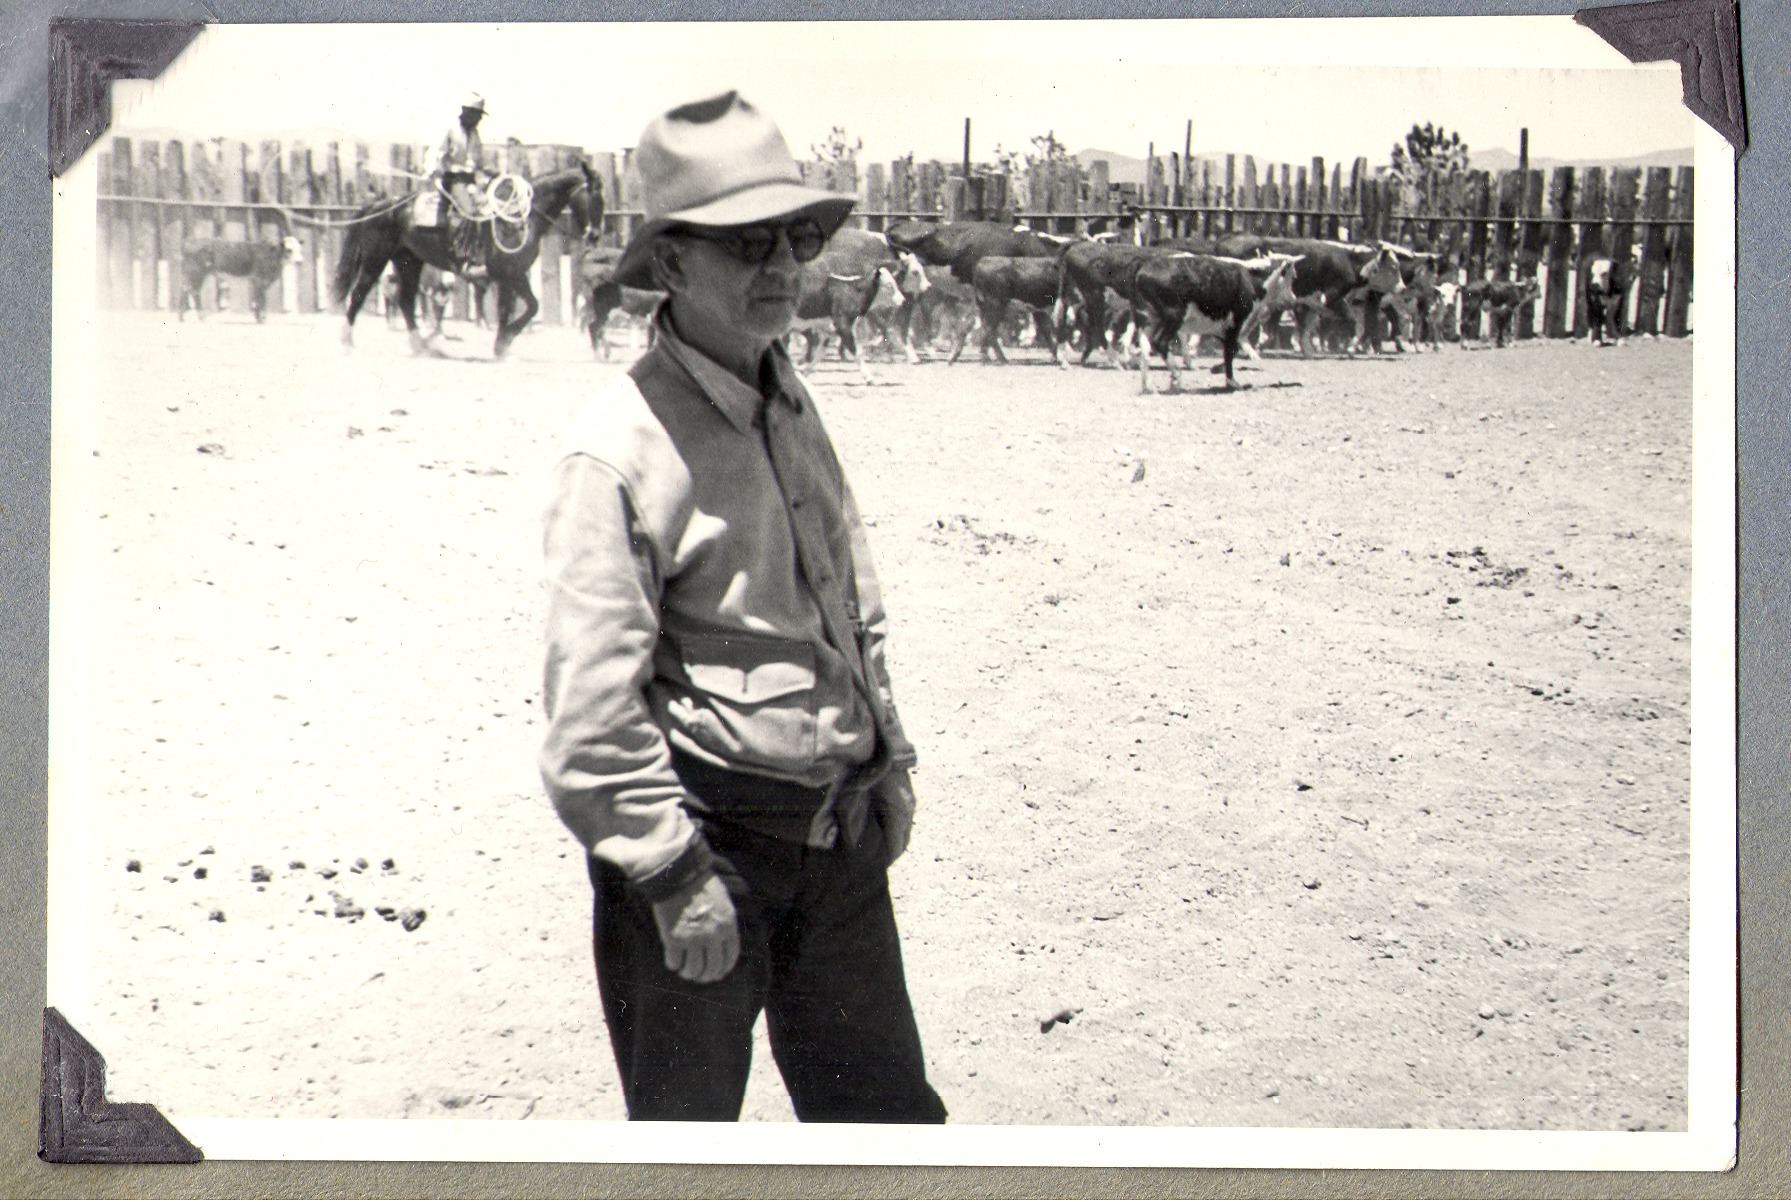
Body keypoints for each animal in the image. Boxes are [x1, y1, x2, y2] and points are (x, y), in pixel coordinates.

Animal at [336, 164, 608, 361]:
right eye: (594, 197)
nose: (595, 235)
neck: (520, 216)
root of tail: (384, 203)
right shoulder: (509, 274)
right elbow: (517, 309)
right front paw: (502, 343)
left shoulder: (514, 274)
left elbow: (525, 307)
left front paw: (503, 344)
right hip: (375, 259)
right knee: (359, 293)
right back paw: (347, 344)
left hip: (409, 260)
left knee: (405, 301)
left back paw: (421, 347)